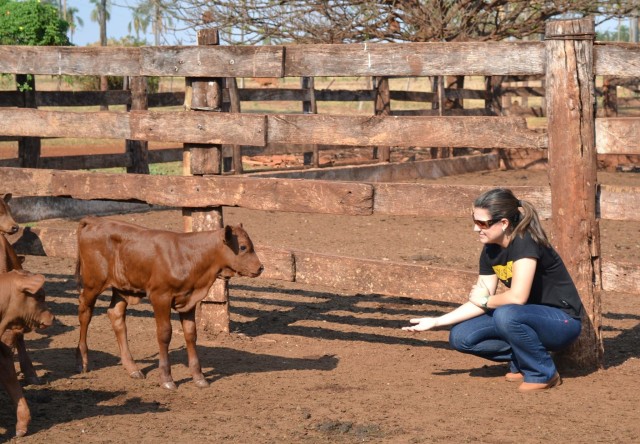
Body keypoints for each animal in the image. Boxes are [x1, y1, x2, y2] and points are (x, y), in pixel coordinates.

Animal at [74, 217, 262, 390]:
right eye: (243, 247)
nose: (261, 268)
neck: (187, 255)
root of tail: (93, 221)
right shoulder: (160, 296)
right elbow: (164, 333)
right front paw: (166, 378)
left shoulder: (188, 299)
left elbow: (190, 334)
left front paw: (199, 377)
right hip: (93, 282)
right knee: (85, 311)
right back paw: (82, 360)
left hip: (121, 287)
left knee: (116, 315)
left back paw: (132, 368)